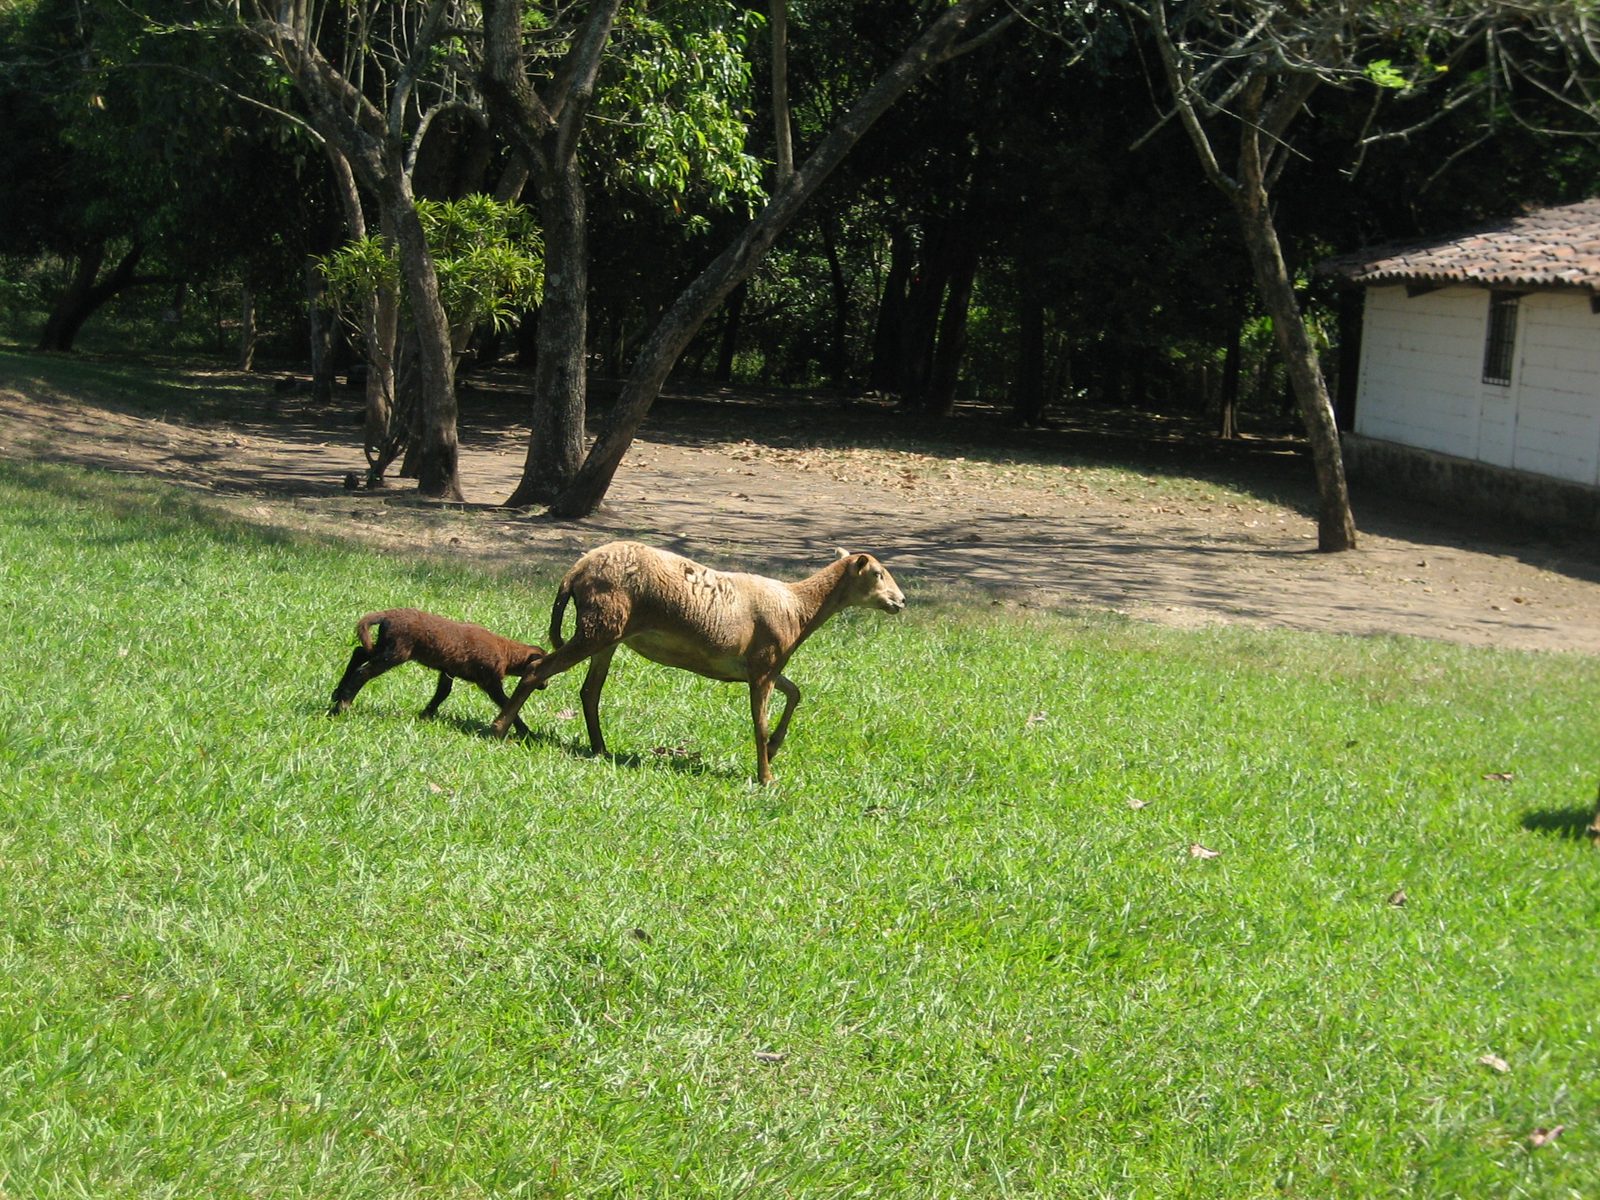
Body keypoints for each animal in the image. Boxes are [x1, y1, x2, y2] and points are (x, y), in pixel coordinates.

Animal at [330, 608, 545, 734]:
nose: (544, 685)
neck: (507, 653)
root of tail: (386, 616)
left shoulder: (448, 670)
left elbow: (443, 692)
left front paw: (426, 715)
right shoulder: (489, 680)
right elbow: (507, 703)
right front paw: (527, 733)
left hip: (385, 646)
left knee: (359, 653)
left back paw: (337, 693)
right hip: (396, 651)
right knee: (362, 672)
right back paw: (341, 707)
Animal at [490, 541, 907, 783]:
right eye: (878, 573)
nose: (900, 602)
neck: (798, 608)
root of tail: (576, 570)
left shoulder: (764, 668)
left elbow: (796, 693)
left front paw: (775, 748)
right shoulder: (763, 666)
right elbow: (759, 724)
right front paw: (766, 776)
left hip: (608, 633)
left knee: (589, 691)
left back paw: (600, 748)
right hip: (600, 625)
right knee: (539, 670)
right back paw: (499, 729)